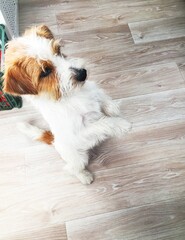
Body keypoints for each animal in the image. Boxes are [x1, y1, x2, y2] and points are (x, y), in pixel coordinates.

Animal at [2, 25, 130, 185]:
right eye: (45, 72)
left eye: (58, 51)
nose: (83, 74)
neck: (72, 95)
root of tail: (54, 140)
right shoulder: (80, 132)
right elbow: (104, 123)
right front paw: (121, 124)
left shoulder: (93, 91)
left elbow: (102, 97)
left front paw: (113, 109)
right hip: (78, 158)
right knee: (70, 169)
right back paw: (84, 176)